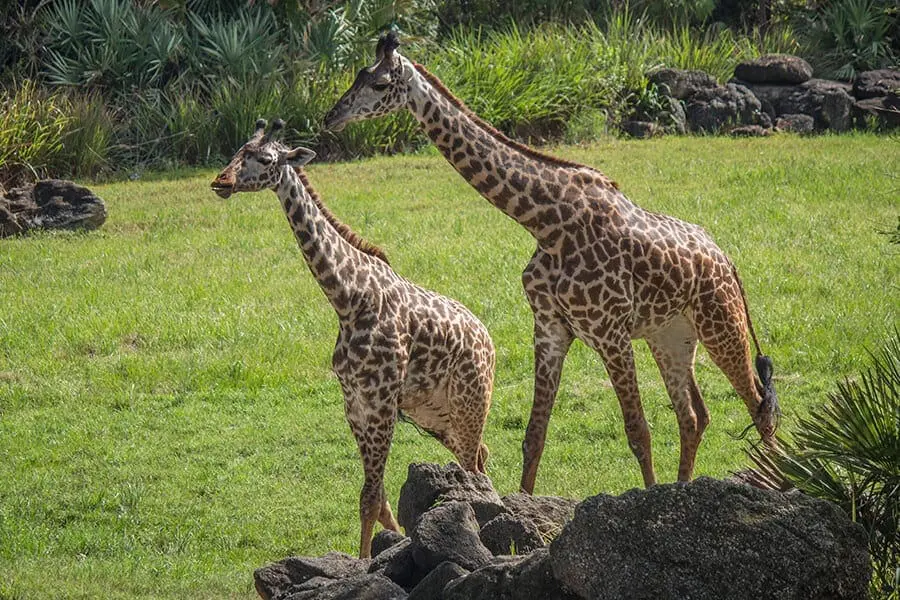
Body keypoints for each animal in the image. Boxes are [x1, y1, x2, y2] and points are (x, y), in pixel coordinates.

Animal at [210, 118, 496, 556]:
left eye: (266, 159)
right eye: (237, 152)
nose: (220, 182)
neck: (347, 298)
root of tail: (490, 341)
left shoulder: (380, 403)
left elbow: (371, 497)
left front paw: (368, 562)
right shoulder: (355, 404)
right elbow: (376, 500)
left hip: (469, 403)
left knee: (472, 469)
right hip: (435, 415)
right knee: (481, 458)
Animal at [326, 30, 780, 494]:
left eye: (380, 84)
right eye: (357, 75)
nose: (331, 116)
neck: (546, 222)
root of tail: (726, 259)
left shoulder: (609, 331)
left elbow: (637, 431)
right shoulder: (550, 328)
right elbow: (535, 435)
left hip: (720, 321)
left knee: (758, 403)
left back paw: (779, 482)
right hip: (670, 335)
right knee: (693, 416)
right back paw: (686, 486)